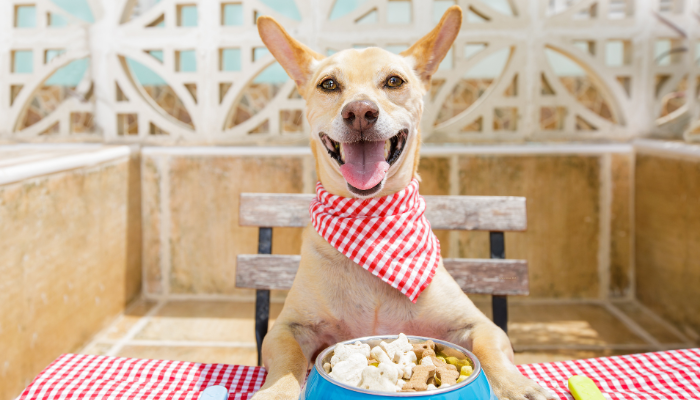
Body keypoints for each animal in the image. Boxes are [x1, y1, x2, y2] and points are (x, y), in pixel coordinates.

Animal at [252, 6, 552, 400]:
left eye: (394, 81)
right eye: (328, 84)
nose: (359, 112)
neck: (371, 224)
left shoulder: (480, 325)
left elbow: (490, 350)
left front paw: (518, 385)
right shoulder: (287, 327)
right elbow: (287, 360)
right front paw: (276, 391)